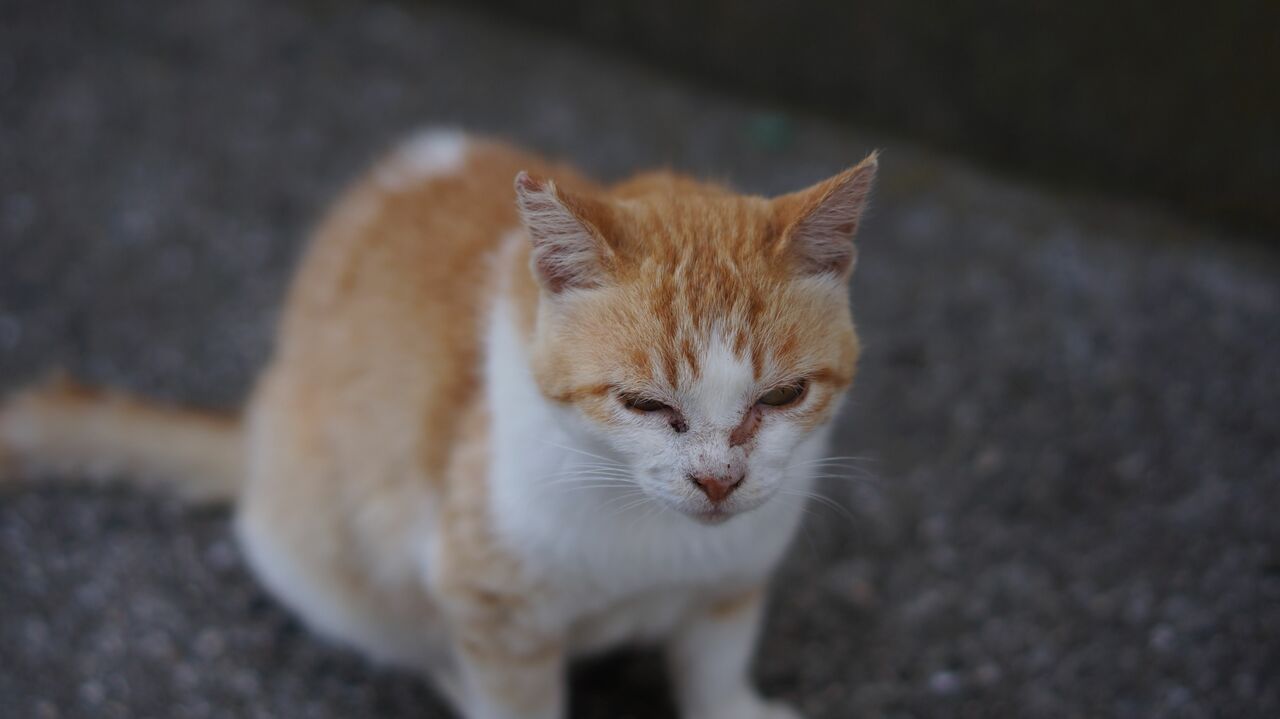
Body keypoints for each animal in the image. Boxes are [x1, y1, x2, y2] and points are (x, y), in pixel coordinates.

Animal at [0, 129, 875, 716]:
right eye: (645, 405)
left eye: (782, 396)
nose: (718, 478)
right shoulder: (490, 600)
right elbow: (516, 696)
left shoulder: (732, 580)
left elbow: (715, 664)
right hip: (322, 555)